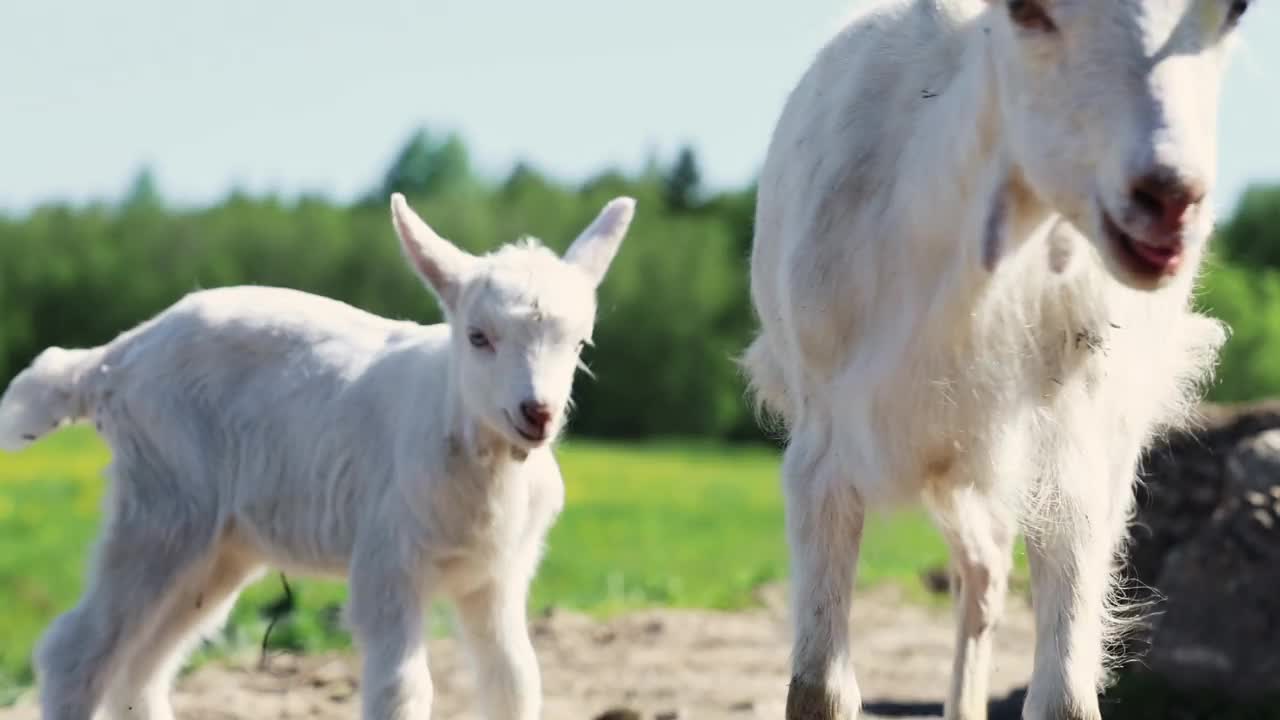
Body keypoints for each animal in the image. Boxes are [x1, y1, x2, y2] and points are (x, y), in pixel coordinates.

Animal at [0, 190, 637, 717]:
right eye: (478, 337)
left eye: (579, 343)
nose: (537, 413)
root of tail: (114, 359)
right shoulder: (387, 564)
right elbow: (403, 689)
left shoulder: (499, 575)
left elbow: (514, 680)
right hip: (162, 503)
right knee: (77, 651)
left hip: (221, 545)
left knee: (142, 667)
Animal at [742, 0, 1249, 712]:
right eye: (1026, 12)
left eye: (1234, 11)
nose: (1169, 198)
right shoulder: (823, 440)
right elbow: (819, 691)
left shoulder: (1074, 444)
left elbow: (1065, 695)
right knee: (978, 567)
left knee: (984, 572)